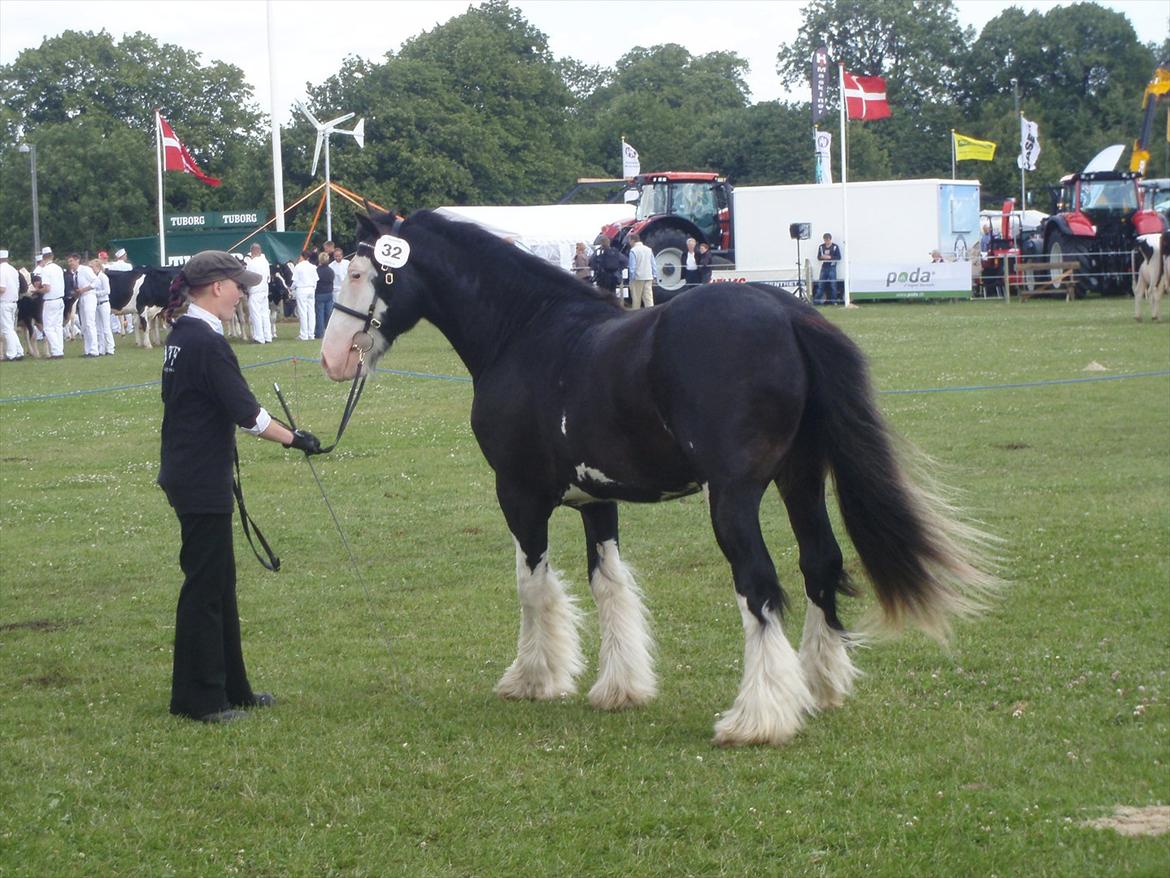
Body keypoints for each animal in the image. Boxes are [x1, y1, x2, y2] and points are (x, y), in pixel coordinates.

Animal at [320, 209, 996, 744]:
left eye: (358, 272)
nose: (330, 357)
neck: (527, 332)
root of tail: (784, 310)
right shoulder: (595, 499)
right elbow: (609, 585)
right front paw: (620, 688)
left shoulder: (519, 494)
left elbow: (532, 587)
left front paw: (534, 678)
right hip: (799, 479)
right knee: (820, 564)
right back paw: (818, 686)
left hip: (735, 498)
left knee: (759, 582)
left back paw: (758, 718)